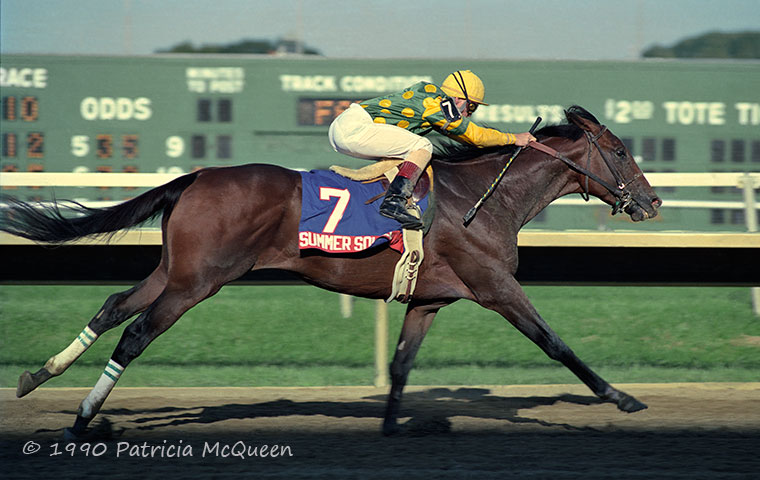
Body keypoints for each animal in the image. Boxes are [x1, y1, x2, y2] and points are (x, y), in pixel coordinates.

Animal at [2, 107, 660, 436]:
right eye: (620, 151)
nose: (651, 202)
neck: (482, 198)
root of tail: (196, 176)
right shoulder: (496, 287)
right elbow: (556, 343)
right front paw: (622, 398)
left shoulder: (428, 300)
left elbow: (401, 364)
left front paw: (391, 426)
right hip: (199, 281)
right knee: (136, 333)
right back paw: (83, 419)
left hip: (176, 270)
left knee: (114, 305)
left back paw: (36, 377)